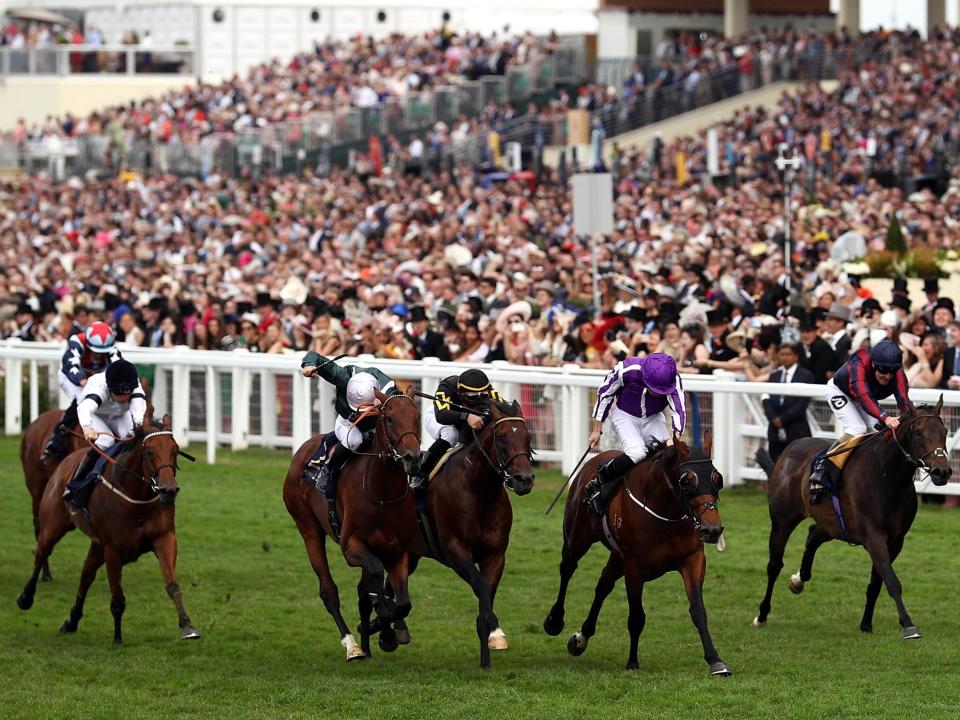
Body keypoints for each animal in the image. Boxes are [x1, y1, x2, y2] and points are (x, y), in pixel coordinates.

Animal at [284, 390, 422, 660]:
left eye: (417, 416)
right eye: (389, 418)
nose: (412, 457)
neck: (382, 494)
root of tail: (302, 449)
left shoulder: (397, 551)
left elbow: (402, 603)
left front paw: (389, 631)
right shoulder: (351, 546)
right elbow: (377, 579)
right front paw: (384, 620)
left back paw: (367, 645)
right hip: (309, 530)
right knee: (329, 590)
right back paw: (353, 646)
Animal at [540, 434, 728, 676]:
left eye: (717, 478)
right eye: (687, 481)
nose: (712, 529)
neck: (666, 514)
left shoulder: (693, 560)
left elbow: (698, 610)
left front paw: (715, 660)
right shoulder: (634, 568)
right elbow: (637, 617)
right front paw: (632, 662)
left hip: (616, 557)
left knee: (603, 584)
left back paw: (581, 638)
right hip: (577, 539)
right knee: (567, 568)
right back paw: (554, 620)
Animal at [756, 400, 952, 640]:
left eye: (945, 432)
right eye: (918, 433)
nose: (942, 471)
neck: (887, 475)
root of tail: (791, 447)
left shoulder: (896, 540)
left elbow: (877, 583)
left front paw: (866, 624)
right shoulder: (873, 536)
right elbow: (891, 581)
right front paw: (908, 625)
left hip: (834, 524)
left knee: (813, 534)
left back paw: (798, 580)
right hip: (782, 521)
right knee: (774, 565)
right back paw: (762, 615)